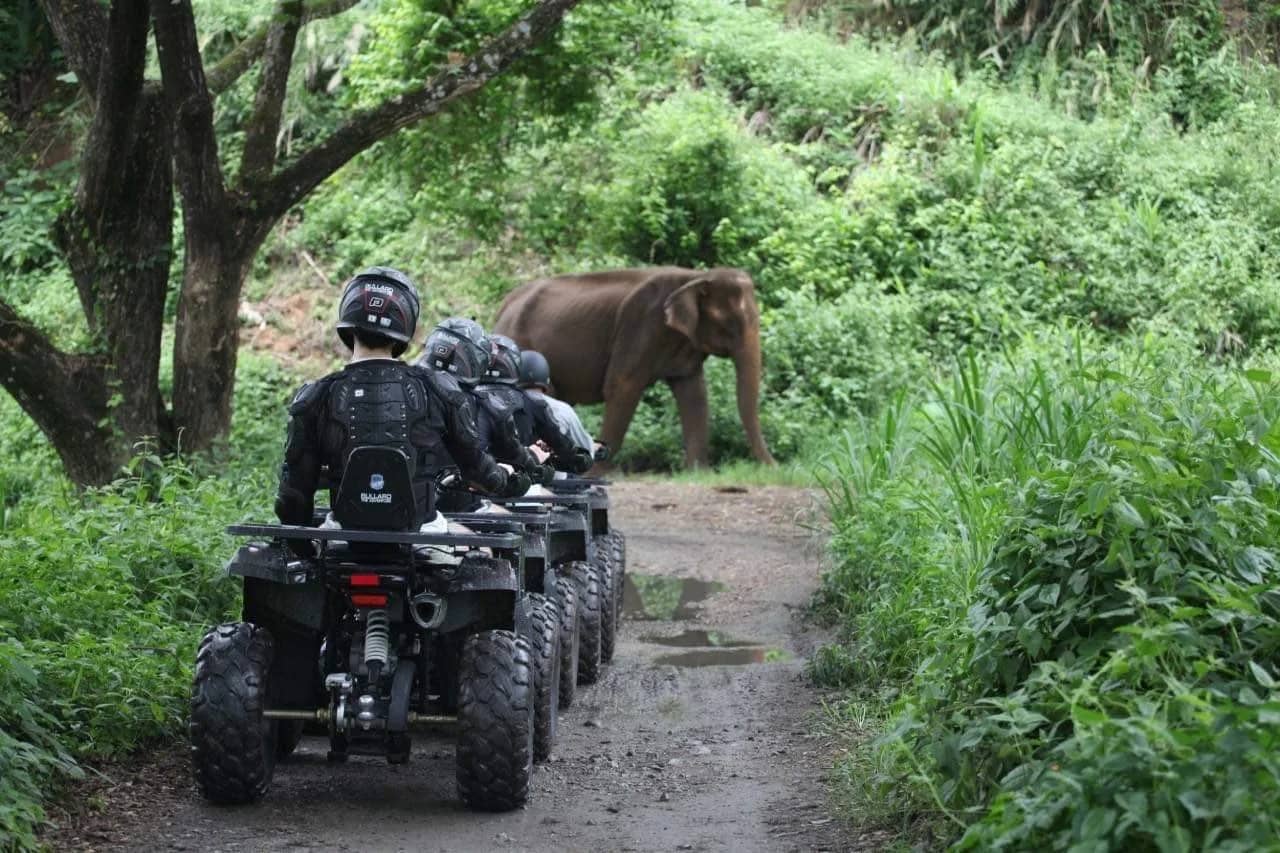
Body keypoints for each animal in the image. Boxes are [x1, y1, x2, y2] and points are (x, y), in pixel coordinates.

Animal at [493, 267, 776, 468]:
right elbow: (622, 387)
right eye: (729, 324)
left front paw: (698, 472)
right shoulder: (640, 325)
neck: (696, 277)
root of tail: (503, 306)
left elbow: (694, 397)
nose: (773, 468)